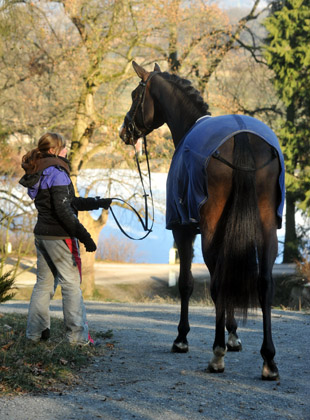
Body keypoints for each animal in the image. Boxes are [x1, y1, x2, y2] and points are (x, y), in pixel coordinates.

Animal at [120, 61, 284, 380]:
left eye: (135, 95)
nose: (124, 131)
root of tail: (241, 136)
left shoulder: (183, 230)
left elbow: (186, 283)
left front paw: (182, 338)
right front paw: (234, 336)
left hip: (209, 232)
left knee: (218, 282)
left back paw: (217, 354)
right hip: (267, 228)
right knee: (264, 283)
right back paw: (268, 360)